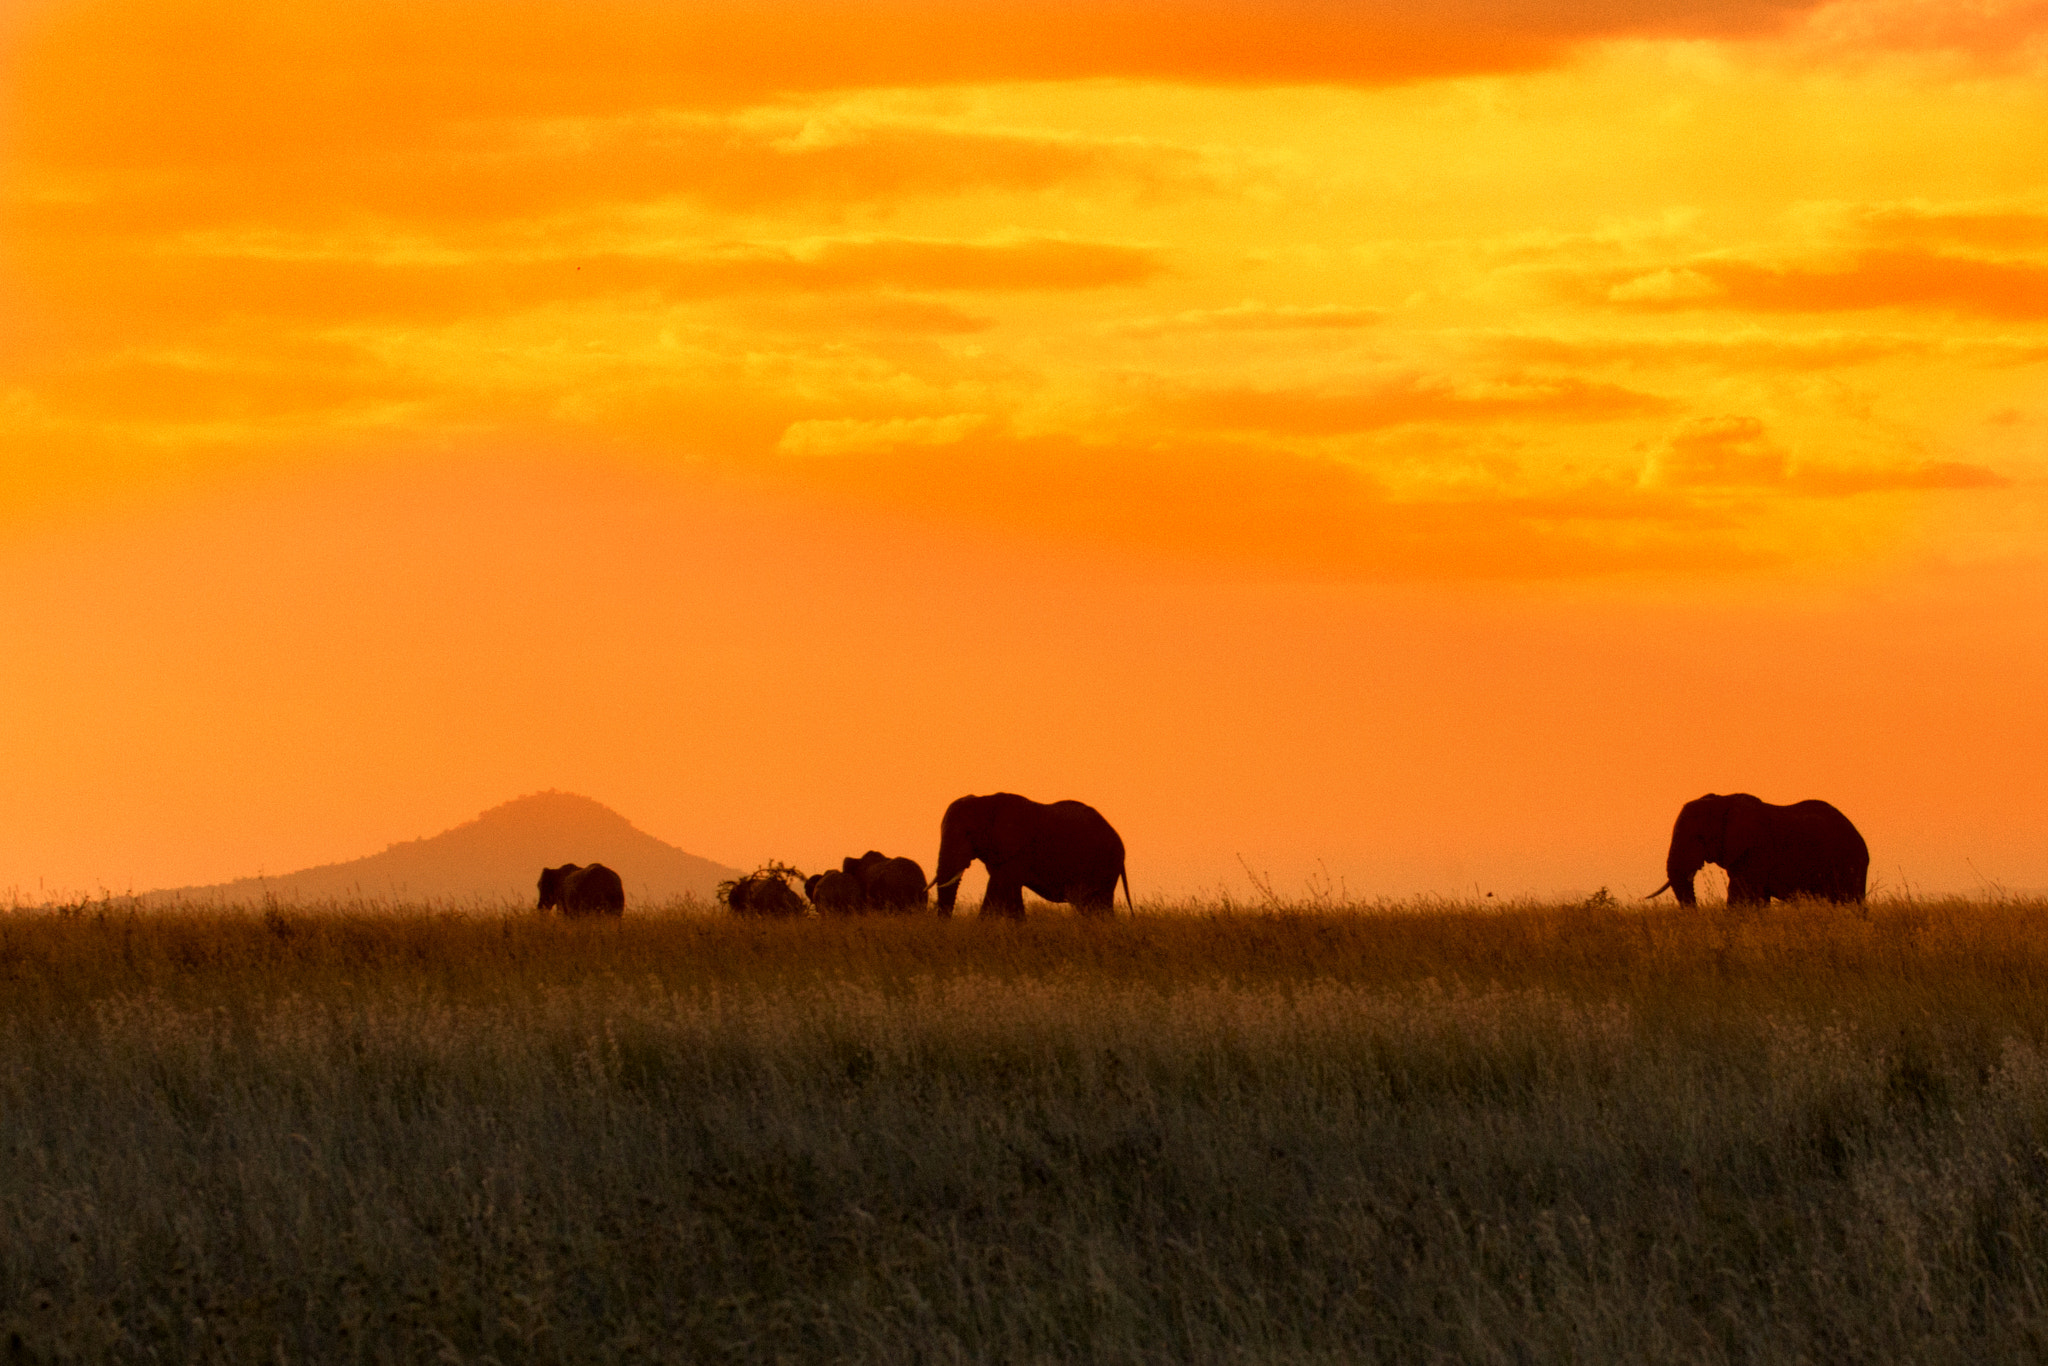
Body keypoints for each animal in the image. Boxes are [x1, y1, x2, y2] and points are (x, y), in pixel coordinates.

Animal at [933, 790, 1130, 917]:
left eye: (968, 834)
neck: (986, 801)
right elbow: (1012, 895)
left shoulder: (1017, 850)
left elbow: (997, 889)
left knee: (1098, 905)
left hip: (1106, 865)